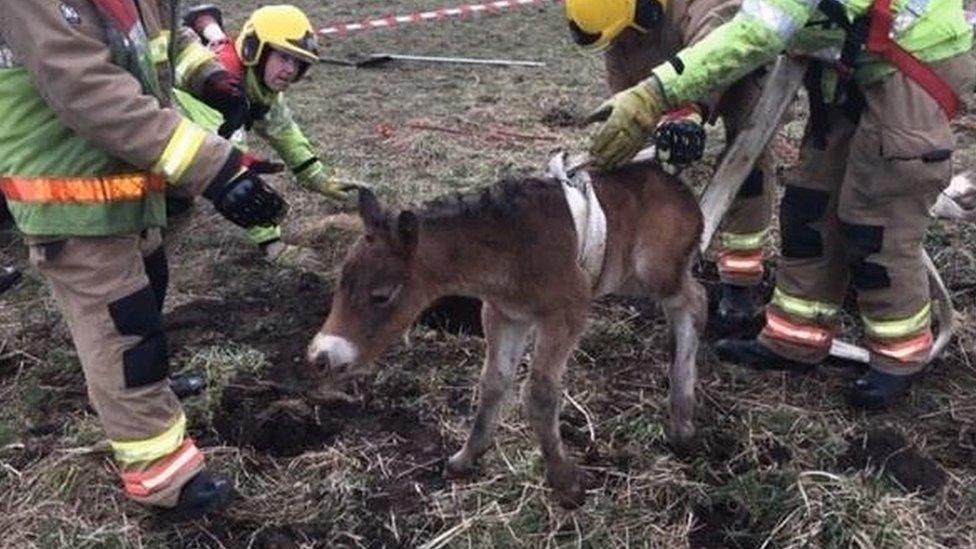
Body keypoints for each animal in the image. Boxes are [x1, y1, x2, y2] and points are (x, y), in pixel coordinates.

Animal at [308, 164, 704, 510]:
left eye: (381, 296)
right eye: (340, 284)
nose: (321, 357)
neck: (512, 249)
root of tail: (681, 188)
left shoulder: (567, 312)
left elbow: (540, 395)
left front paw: (566, 485)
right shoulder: (504, 315)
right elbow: (493, 382)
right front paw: (465, 458)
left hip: (654, 271)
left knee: (695, 300)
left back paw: (683, 422)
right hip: (630, 278)